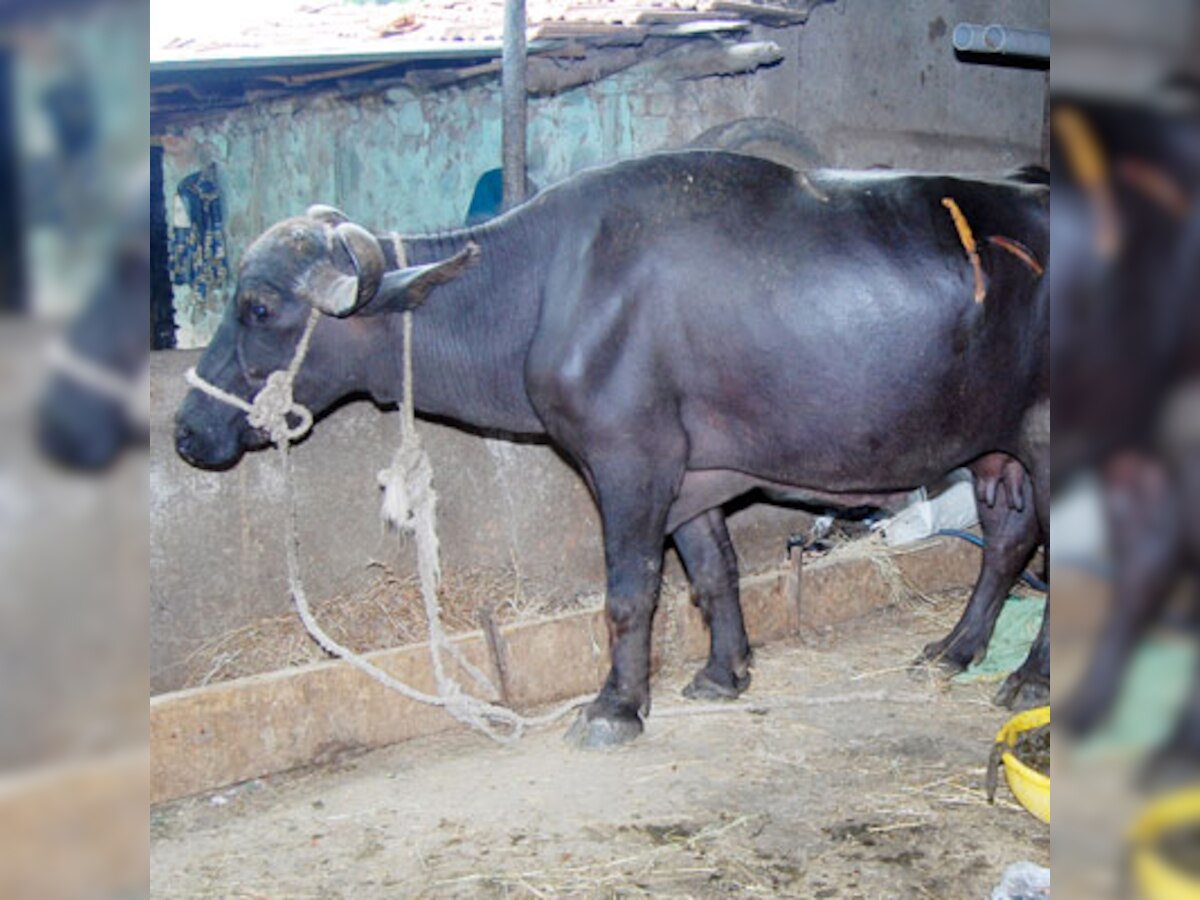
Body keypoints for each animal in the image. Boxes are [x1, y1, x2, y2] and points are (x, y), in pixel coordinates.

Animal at [174, 153, 1046, 748]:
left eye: (259, 307)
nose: (185, 430)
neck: (544, 290)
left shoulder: (629, 460)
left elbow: (630, 593)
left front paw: (615, 707)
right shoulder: (692, 473)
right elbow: (713, 574)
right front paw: (724, 673)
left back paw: (1027, 677)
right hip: (997, 452)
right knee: (1007, 542)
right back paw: (953, 651)